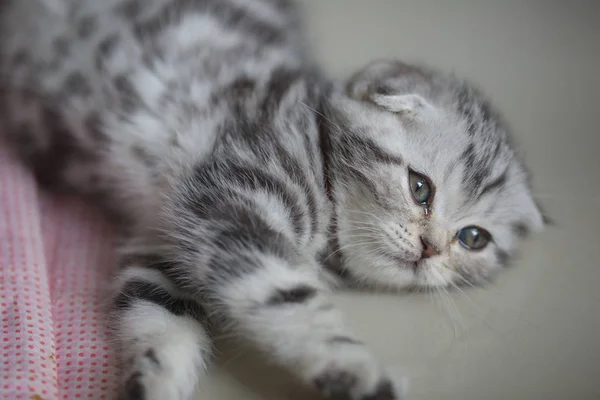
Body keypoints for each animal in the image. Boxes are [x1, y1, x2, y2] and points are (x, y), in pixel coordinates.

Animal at [0, 0, 544, 400]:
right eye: (420, 187)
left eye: (472, 238)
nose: (431, 248)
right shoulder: (230, 203)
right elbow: (285, 295)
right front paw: (356, 368)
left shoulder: (163, 237)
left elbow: (158, 313)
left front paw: (153, 380)